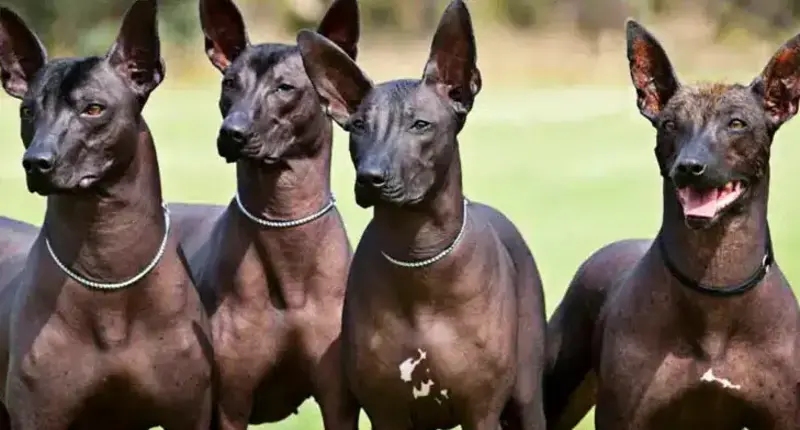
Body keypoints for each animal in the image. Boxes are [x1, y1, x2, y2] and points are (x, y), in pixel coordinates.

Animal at [0, 1, 212, 428]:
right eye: (27, 111)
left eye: (93, 109)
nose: (35, 162)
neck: (108, 265)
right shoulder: (36, 416)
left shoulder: (192, 413)